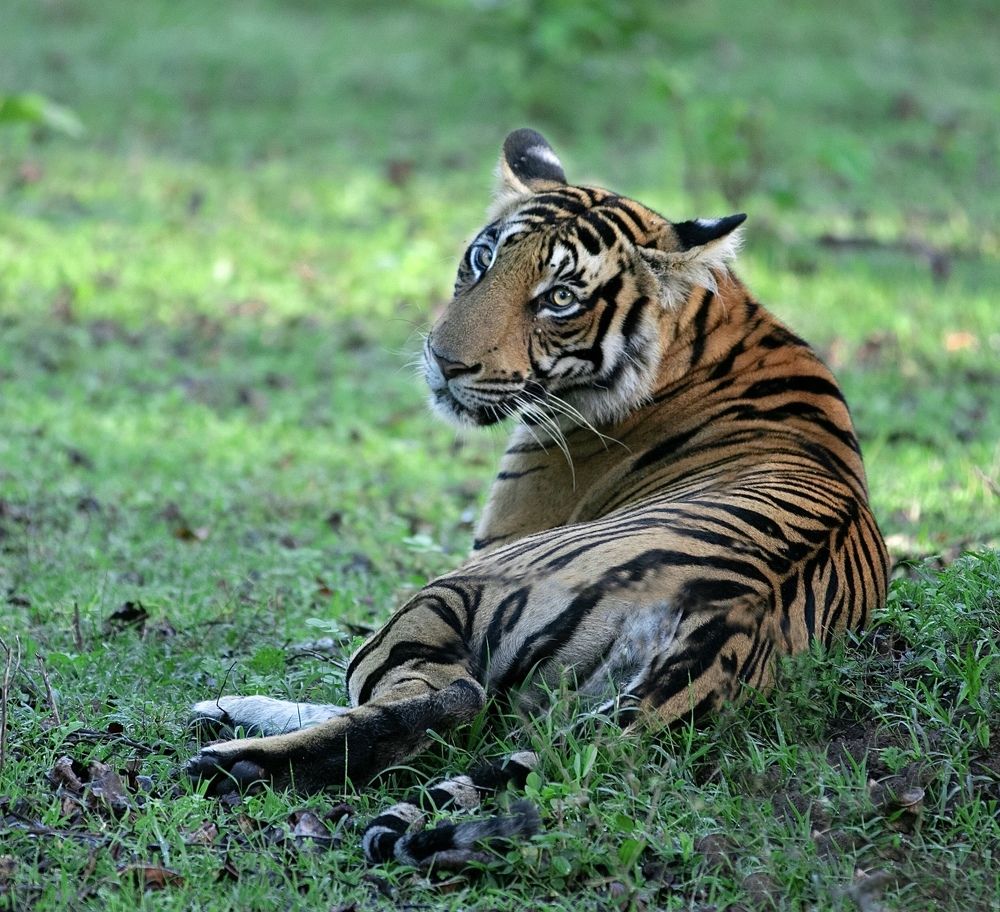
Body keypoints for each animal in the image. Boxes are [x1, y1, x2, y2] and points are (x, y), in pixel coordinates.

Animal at [187, 128, 890, 867]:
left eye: (559, 299)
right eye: (483, 258)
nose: (444, 361)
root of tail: (730, 619)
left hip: (450, 591)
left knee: (444, 701)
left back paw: (234, 750)